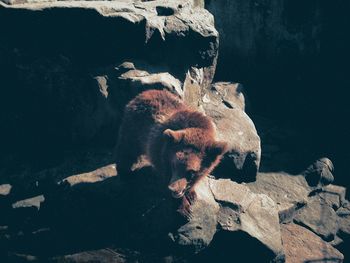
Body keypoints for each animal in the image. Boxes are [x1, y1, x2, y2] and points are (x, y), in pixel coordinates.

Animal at [116, 89, 228, 218]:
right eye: (174, 165)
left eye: (191, 171)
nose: (173, 189)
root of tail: (143, 93)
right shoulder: (162, 155)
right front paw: (184, 209)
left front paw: (191, 194)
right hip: (133, 129)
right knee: (127, 151)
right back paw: (125, 173)